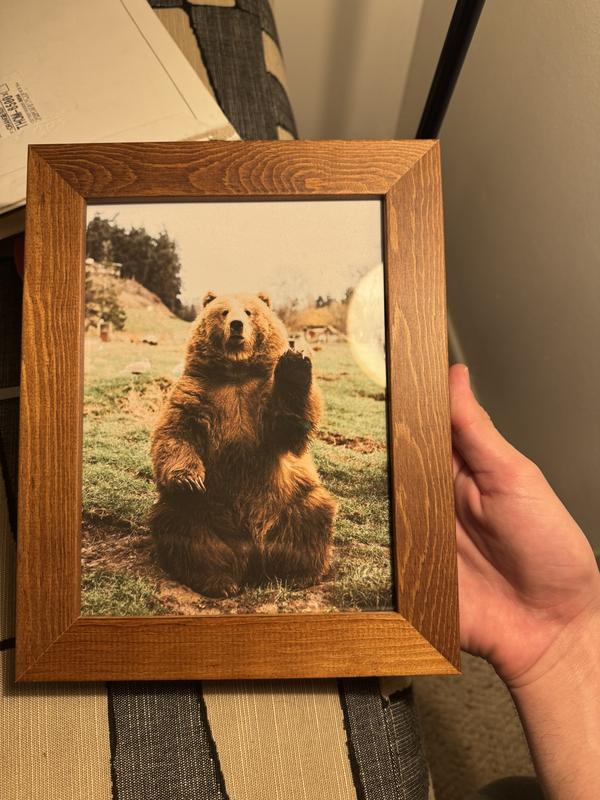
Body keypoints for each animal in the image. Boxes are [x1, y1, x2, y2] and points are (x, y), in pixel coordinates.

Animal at [149, 290, 336, 598]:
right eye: (224, 312)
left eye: (249, 312)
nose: (237, 325)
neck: (236, 373)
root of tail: (253, 551)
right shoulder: (197, 393)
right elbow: (176, 432)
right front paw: (189, 478)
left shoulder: (260, 398)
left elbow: (288, 426)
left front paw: (295, 363)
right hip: (201, 510)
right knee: (184, 529)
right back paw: (219, 581)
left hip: (291, 497)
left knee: (311, 518)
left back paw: (299, 574)